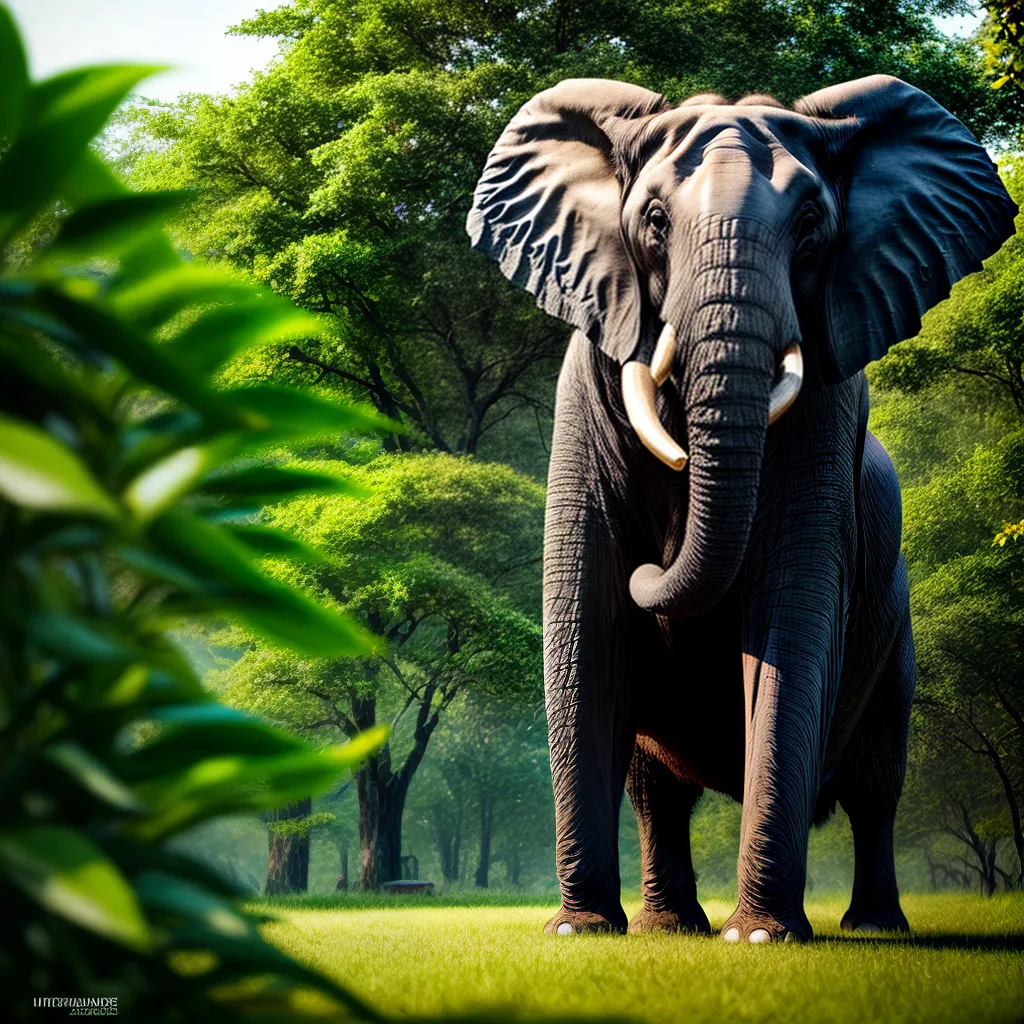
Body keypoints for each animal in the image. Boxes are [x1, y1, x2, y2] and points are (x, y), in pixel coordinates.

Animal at [465, 75, 1017, 943]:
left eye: (812, 224)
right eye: (655, 222)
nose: (654, 564)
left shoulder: (824, 410)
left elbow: (790, 621)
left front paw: (760, 936)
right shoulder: (581, 398)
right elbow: (588, 629)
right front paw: (579, 932)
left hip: (896, 630)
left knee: (876, 784)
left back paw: (873, 929)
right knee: (655, 787)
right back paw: (669, 928)